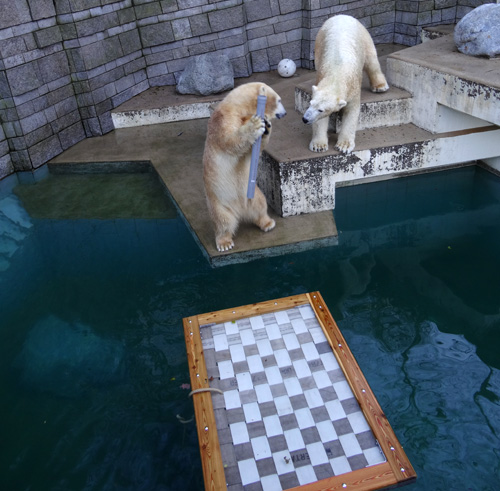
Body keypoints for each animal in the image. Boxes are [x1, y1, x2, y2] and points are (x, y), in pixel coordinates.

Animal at [202, 82, 286, 252]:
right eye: (279, 100)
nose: (284, 113)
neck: (236, 107)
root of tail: (240, 210)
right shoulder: (222, 119)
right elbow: (230, 141)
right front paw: (254, 125)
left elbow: (254, 149)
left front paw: (266, 125)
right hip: (218, 201)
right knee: (223, 221)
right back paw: (224, 243)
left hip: (253, 195)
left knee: (260, 205)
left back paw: (268, 223)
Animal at [300, 14, 390, 154]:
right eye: (310, 103)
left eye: (321, 109)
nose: (305, 119)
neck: (337, 72)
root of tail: (342, 15)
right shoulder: (321, 76)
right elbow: (321, 121)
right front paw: (318, 145)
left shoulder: (353, 89)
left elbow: (351, 113)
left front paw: (344, 146)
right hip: (319, 41)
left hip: (364, 37)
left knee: (371, 60)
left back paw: (380, 86)